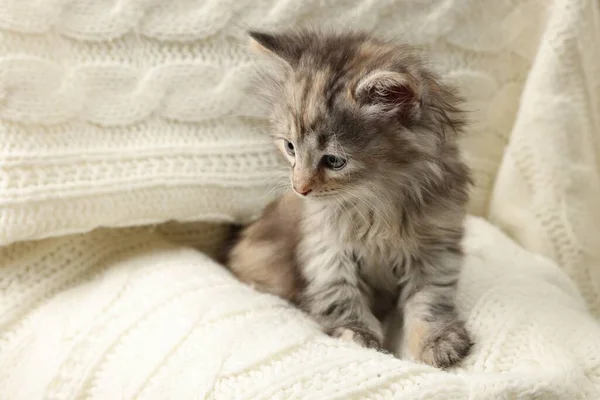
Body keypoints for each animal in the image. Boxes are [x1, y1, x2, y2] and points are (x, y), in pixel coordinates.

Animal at [225, 28, 474, 368]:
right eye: (290, 147)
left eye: (333, 161)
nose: (299, 188)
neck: (377, 203)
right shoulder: (326, 248)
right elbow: (340, 295)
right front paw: (356, 335)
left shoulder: (435, 247)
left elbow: (429, 301)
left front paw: (438, 342)